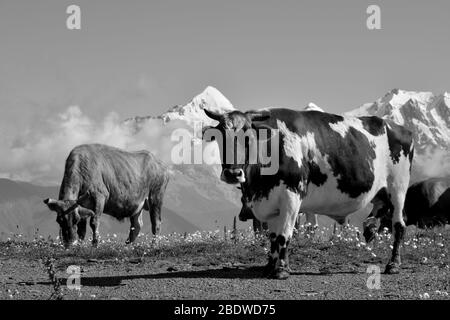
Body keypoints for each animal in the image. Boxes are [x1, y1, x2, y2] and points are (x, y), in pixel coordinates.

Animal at [204, 107, 414, 278]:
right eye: (219, 136)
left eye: (248, 137)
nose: (233, 173)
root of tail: (397, 127)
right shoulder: (270, 202)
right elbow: (272, 237)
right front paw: (270, 266)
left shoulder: (291, 196)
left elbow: (283, 235)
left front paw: (281, 269)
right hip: (381, 191)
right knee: (377, 212)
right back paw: (370, 228)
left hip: (398, 187)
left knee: (399, 225)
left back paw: (393, 264)